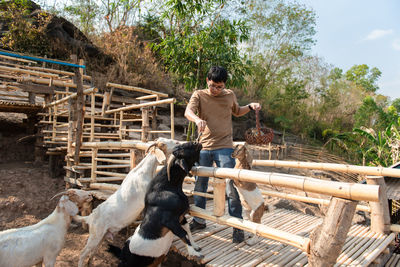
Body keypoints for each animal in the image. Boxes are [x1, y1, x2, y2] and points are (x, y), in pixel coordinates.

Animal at [76, 138, 179, 267]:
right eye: (163, 143)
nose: (178, 143)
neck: (143, 172)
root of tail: (90, 217)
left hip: (101, 236)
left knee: (92, 252)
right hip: (95, 235)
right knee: (82, 253)